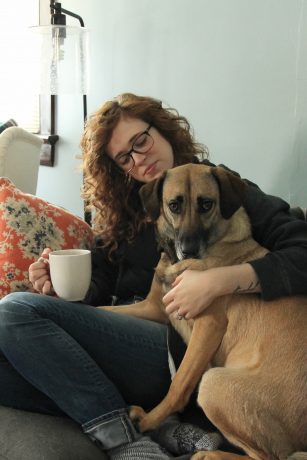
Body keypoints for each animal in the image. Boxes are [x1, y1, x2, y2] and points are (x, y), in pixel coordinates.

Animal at [102, 164, 306, 458]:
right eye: (174, 205)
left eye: (206, 204)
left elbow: (178, 383)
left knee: (269, 456)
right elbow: (100, 307)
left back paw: (208, 453)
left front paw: (150, 420)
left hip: (213, 383)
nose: (188, 250)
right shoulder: (154, 307)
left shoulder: (208, 325)